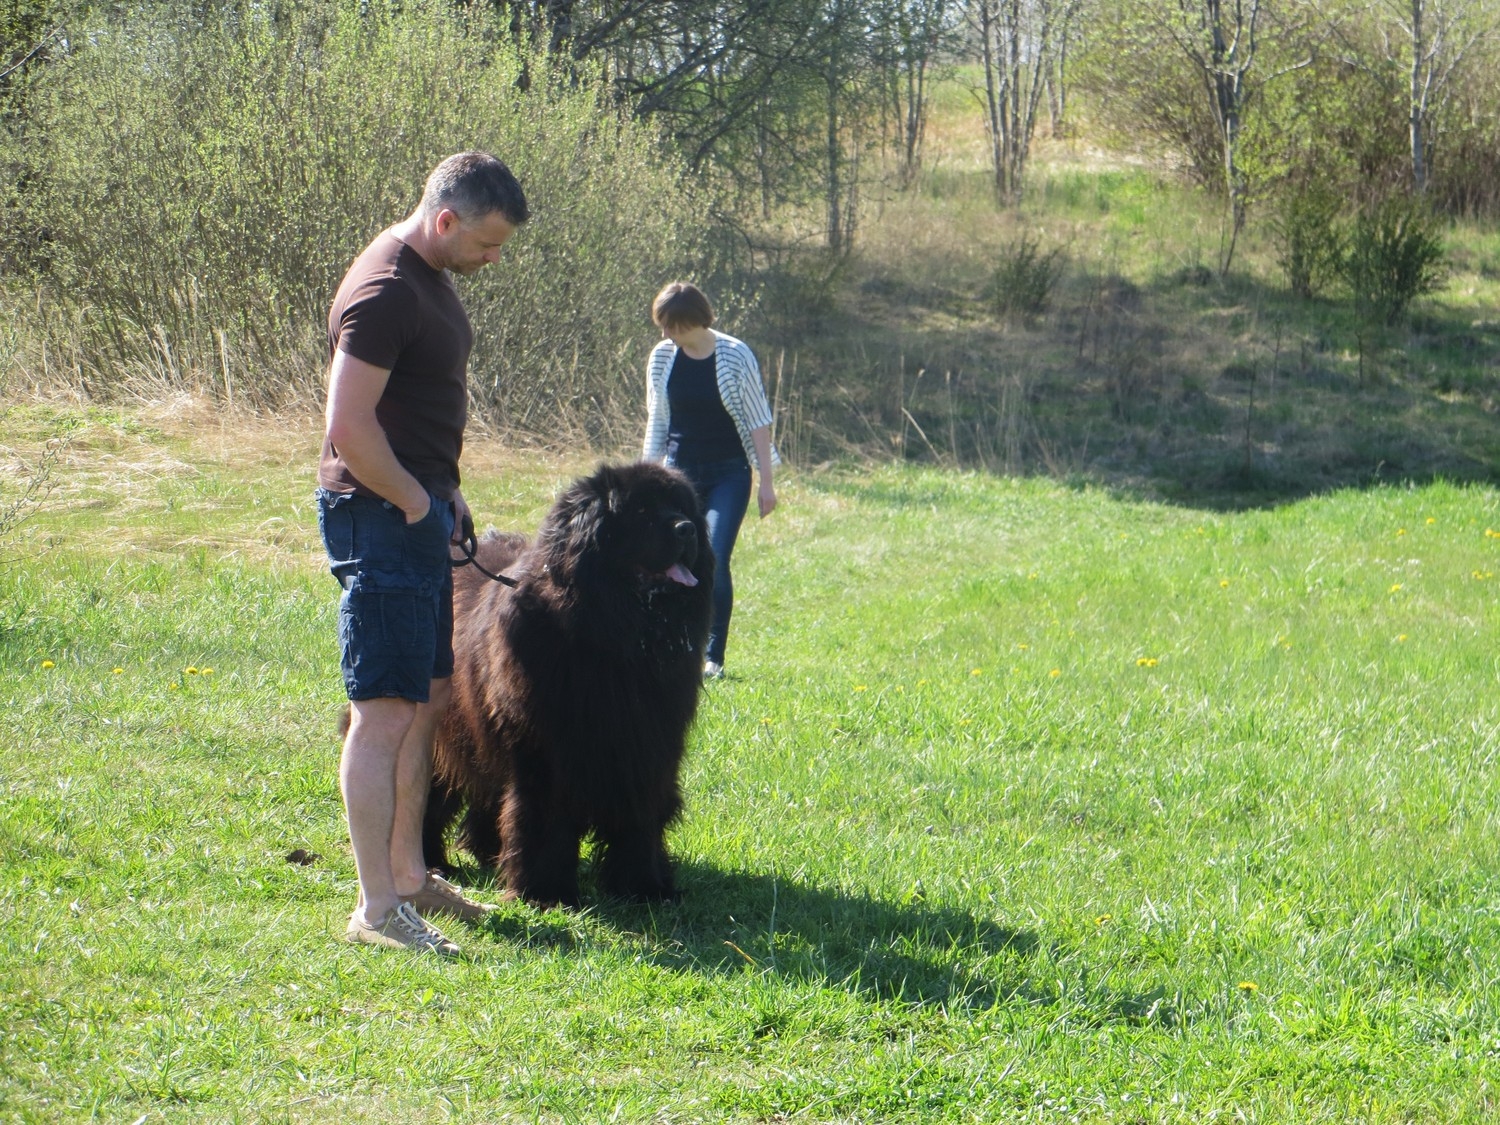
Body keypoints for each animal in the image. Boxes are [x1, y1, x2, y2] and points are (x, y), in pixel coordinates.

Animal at [426, 462, 717, 912]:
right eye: (642, 512)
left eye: (682, 509)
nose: (687, 530)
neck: (613, 639)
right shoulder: (546, 750)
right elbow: (547, 818)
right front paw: (545, 891)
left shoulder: (649, 747)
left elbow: (642, 817)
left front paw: (645, 886)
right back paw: (433, 862)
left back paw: (487, 853)